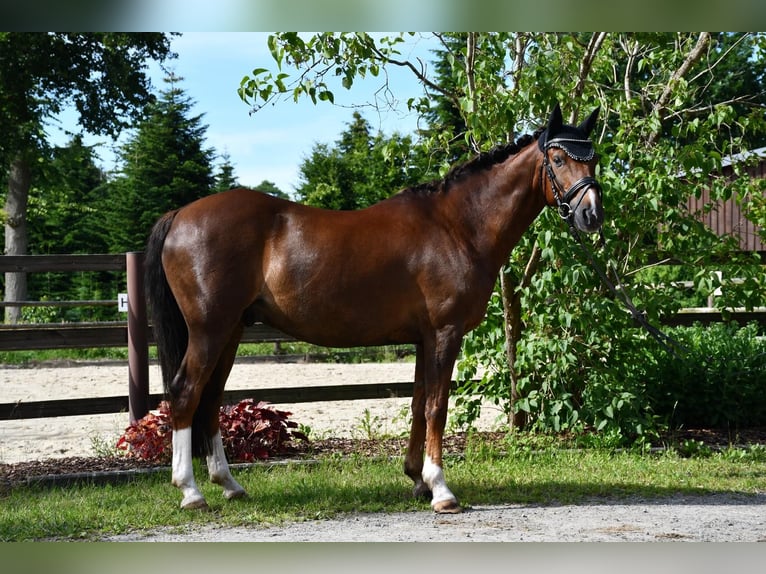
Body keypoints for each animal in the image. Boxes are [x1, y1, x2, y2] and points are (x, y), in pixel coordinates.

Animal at [144, 102, 603, 514]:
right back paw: (191, 492)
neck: (458, 225)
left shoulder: (423, 339)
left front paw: (418, 479)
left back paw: (229, 485)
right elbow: (437, 406)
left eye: (594, 157)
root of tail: (179, 214)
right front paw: (442, 491)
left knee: (210, 400)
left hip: (232, 331)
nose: (592, 215)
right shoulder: (445, 332)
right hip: (210, 330)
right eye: (558, 158)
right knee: (184, 394)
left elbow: (419, 404)